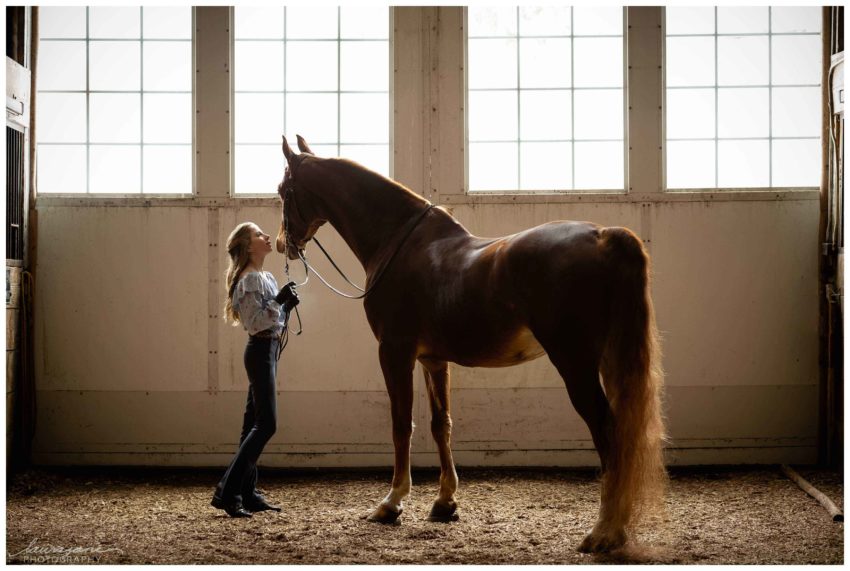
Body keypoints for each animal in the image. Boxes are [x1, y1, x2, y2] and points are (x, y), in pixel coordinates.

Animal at [274, 135, 664, 556]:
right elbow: (440, 424)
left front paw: (391, 503)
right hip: (609, 358)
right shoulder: (433, 360)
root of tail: (603, 235)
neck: (399, 243)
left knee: (608, 431)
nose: (281, 244)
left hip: (574, 362)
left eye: (282, 190)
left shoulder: (395, 351)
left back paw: (605, 531)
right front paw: (445, 502)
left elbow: (401, 423)